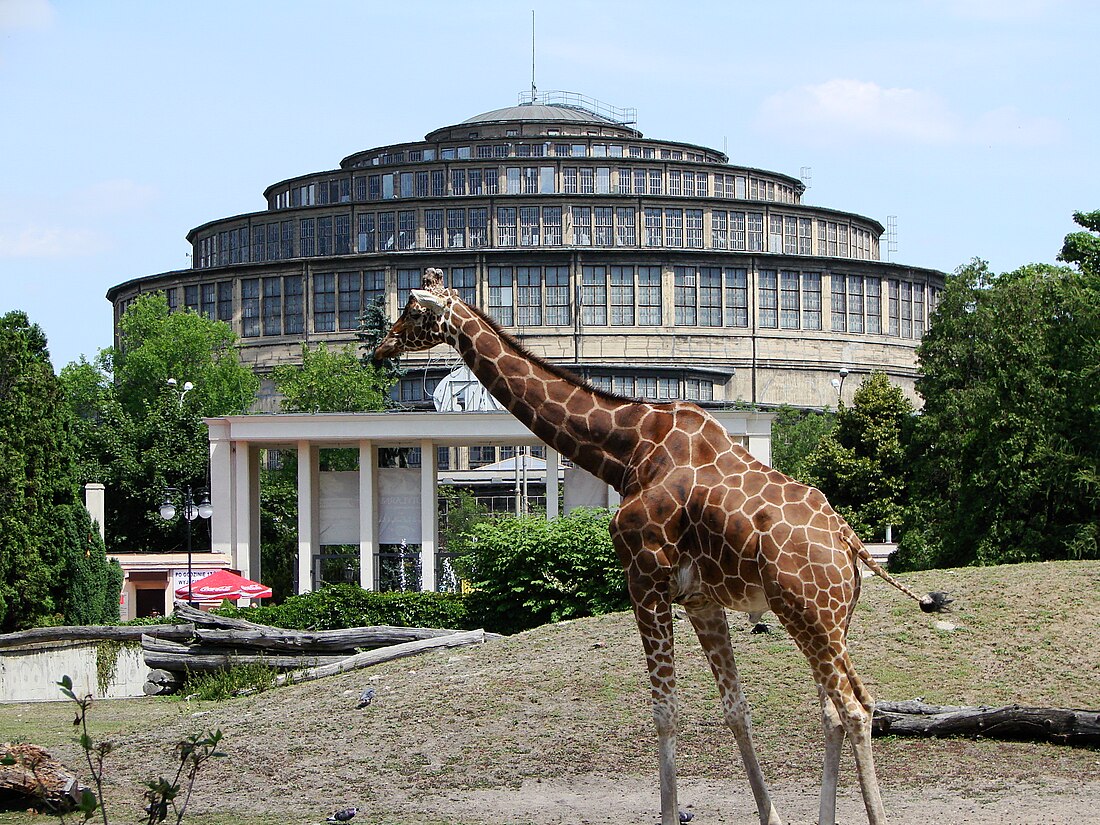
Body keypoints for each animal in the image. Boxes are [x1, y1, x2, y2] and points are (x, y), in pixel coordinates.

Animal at [376, 271, 946, 825]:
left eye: (414, 308)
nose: (382, 347)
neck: (627, 450)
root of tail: (850, 543)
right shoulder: (701, 600)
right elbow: (735, 708)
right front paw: (773, 817)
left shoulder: (644, 580)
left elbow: (665, 711)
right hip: (832, 619)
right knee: (834, 707)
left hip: (809, 613)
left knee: (856, 707)